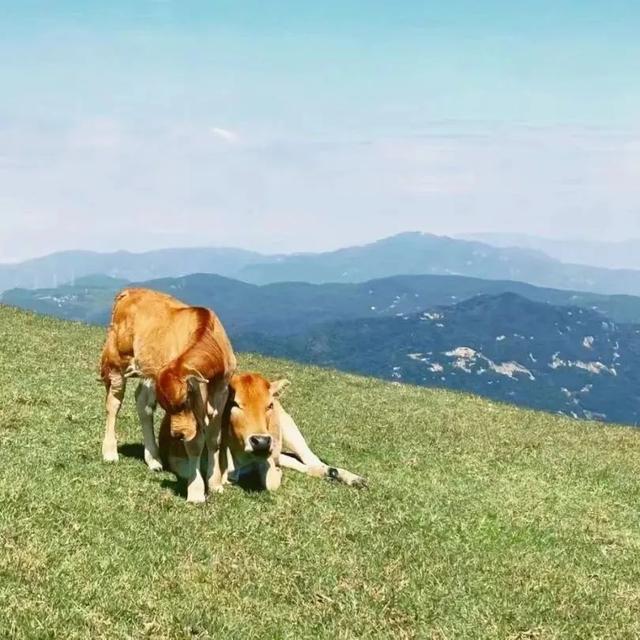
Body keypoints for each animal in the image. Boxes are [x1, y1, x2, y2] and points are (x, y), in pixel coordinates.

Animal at [158, 370, 364, 490]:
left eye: (269, 405)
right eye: (234, 403)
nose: (261, 441)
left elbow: (271, 480)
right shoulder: (179, 459)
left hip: (289, 429)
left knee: (310, 460)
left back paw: (346, 476)